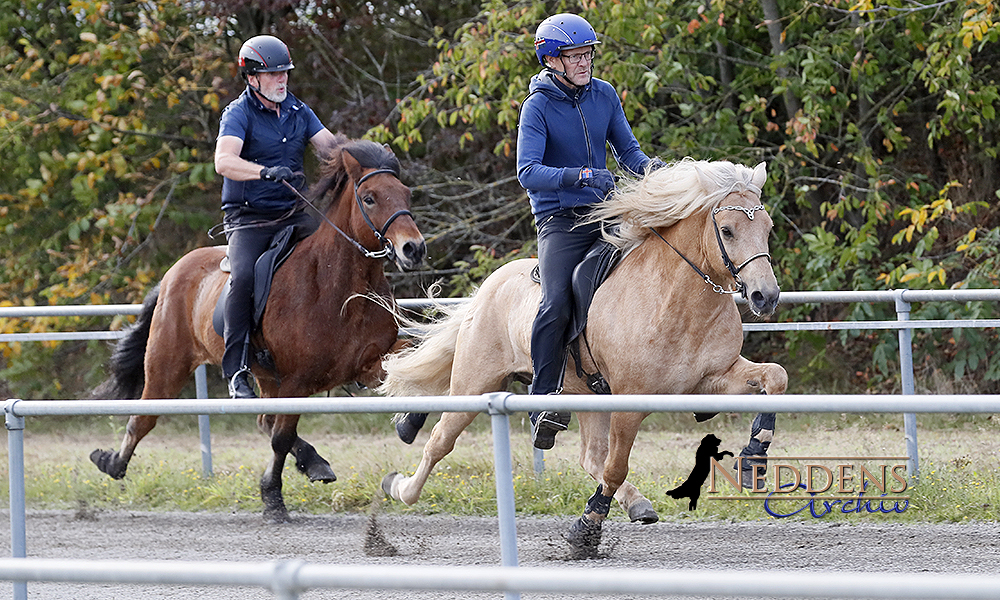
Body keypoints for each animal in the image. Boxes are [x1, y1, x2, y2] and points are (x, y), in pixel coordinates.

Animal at [89, 136, 426, 520]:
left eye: (406, 194)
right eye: (369, 197)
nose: (413, 249)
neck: (338, 284)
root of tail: (174, 271)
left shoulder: (366, 363)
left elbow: (412, 364)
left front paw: (409, 422)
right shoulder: (297, 381)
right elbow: (281, 437)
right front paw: (272, 498)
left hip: (264, 377)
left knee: (264, 420)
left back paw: (314, 461)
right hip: (167, 365)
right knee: (143, 419)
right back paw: (113, 463)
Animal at [378, 158, 784, 552]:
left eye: (767, 227)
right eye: (727, 230)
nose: (765, 296)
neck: (676, 300)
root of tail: (487, 288)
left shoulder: (713, 379)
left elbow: (775, 377)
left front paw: (754, 458)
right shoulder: (630, 401)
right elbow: (616, 466)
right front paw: (585, 529)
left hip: (588, 395)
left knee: (591, 456)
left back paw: (636, 503)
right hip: (474, 383)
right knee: (440, 441)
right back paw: (400, 488)